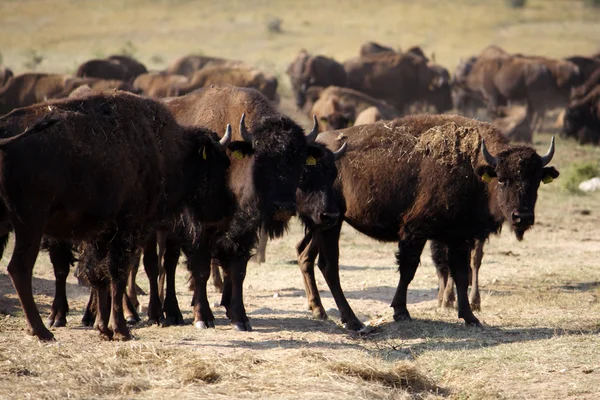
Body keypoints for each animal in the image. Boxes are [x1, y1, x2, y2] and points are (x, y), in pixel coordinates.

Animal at [0, 90, 233, 340]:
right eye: (217, 165)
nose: (225, 210)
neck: (165, 150)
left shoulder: (101, 234)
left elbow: (99, 276)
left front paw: (103, 328)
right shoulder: (127, 230)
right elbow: (117, 274)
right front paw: (121, 330)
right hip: (30, 224)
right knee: (20, 269)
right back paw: (42, 331)